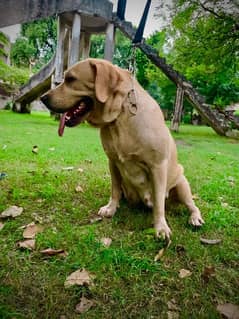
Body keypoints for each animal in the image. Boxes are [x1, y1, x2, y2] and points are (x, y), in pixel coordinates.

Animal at [40, 58, 204, 241]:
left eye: (71, 79)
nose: (42, 98)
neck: (120, 117)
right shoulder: (113, 162)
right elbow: (115, 190)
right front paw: (111, 208)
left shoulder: (158, 166)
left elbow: (159, 203)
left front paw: (161, 227)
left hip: (182, 184)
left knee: (191, 204)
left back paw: (195, 218)